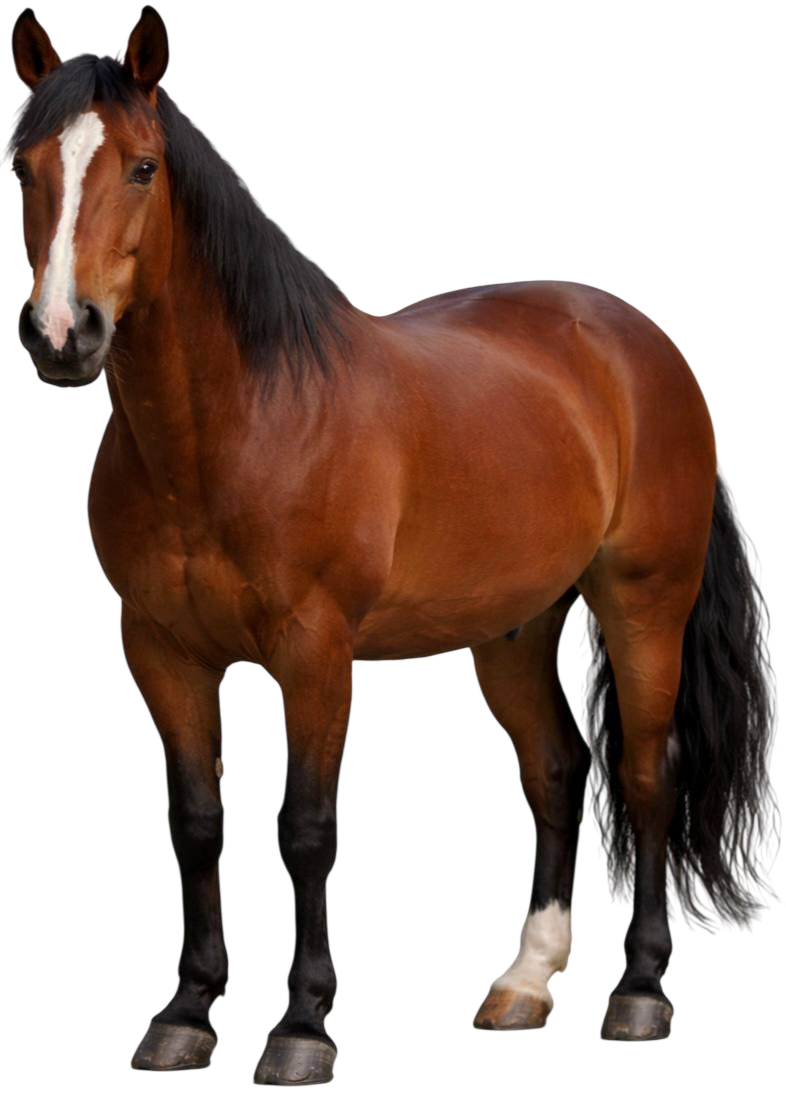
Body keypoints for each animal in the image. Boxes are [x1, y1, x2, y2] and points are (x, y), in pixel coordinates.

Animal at [6, 10, 778, 1082]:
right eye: (20, 168)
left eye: (144, 168)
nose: (62, 332)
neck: (244, 422)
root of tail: (642, 345)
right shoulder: (162, 652)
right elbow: (196, 824)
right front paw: (187, 1012)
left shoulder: (316, 653)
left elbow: (306, 828)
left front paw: (301, 1028)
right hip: (512, 630)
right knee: (554, 775)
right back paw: (523, 981)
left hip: (645, 606)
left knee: (644, 776)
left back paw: (639, 992)